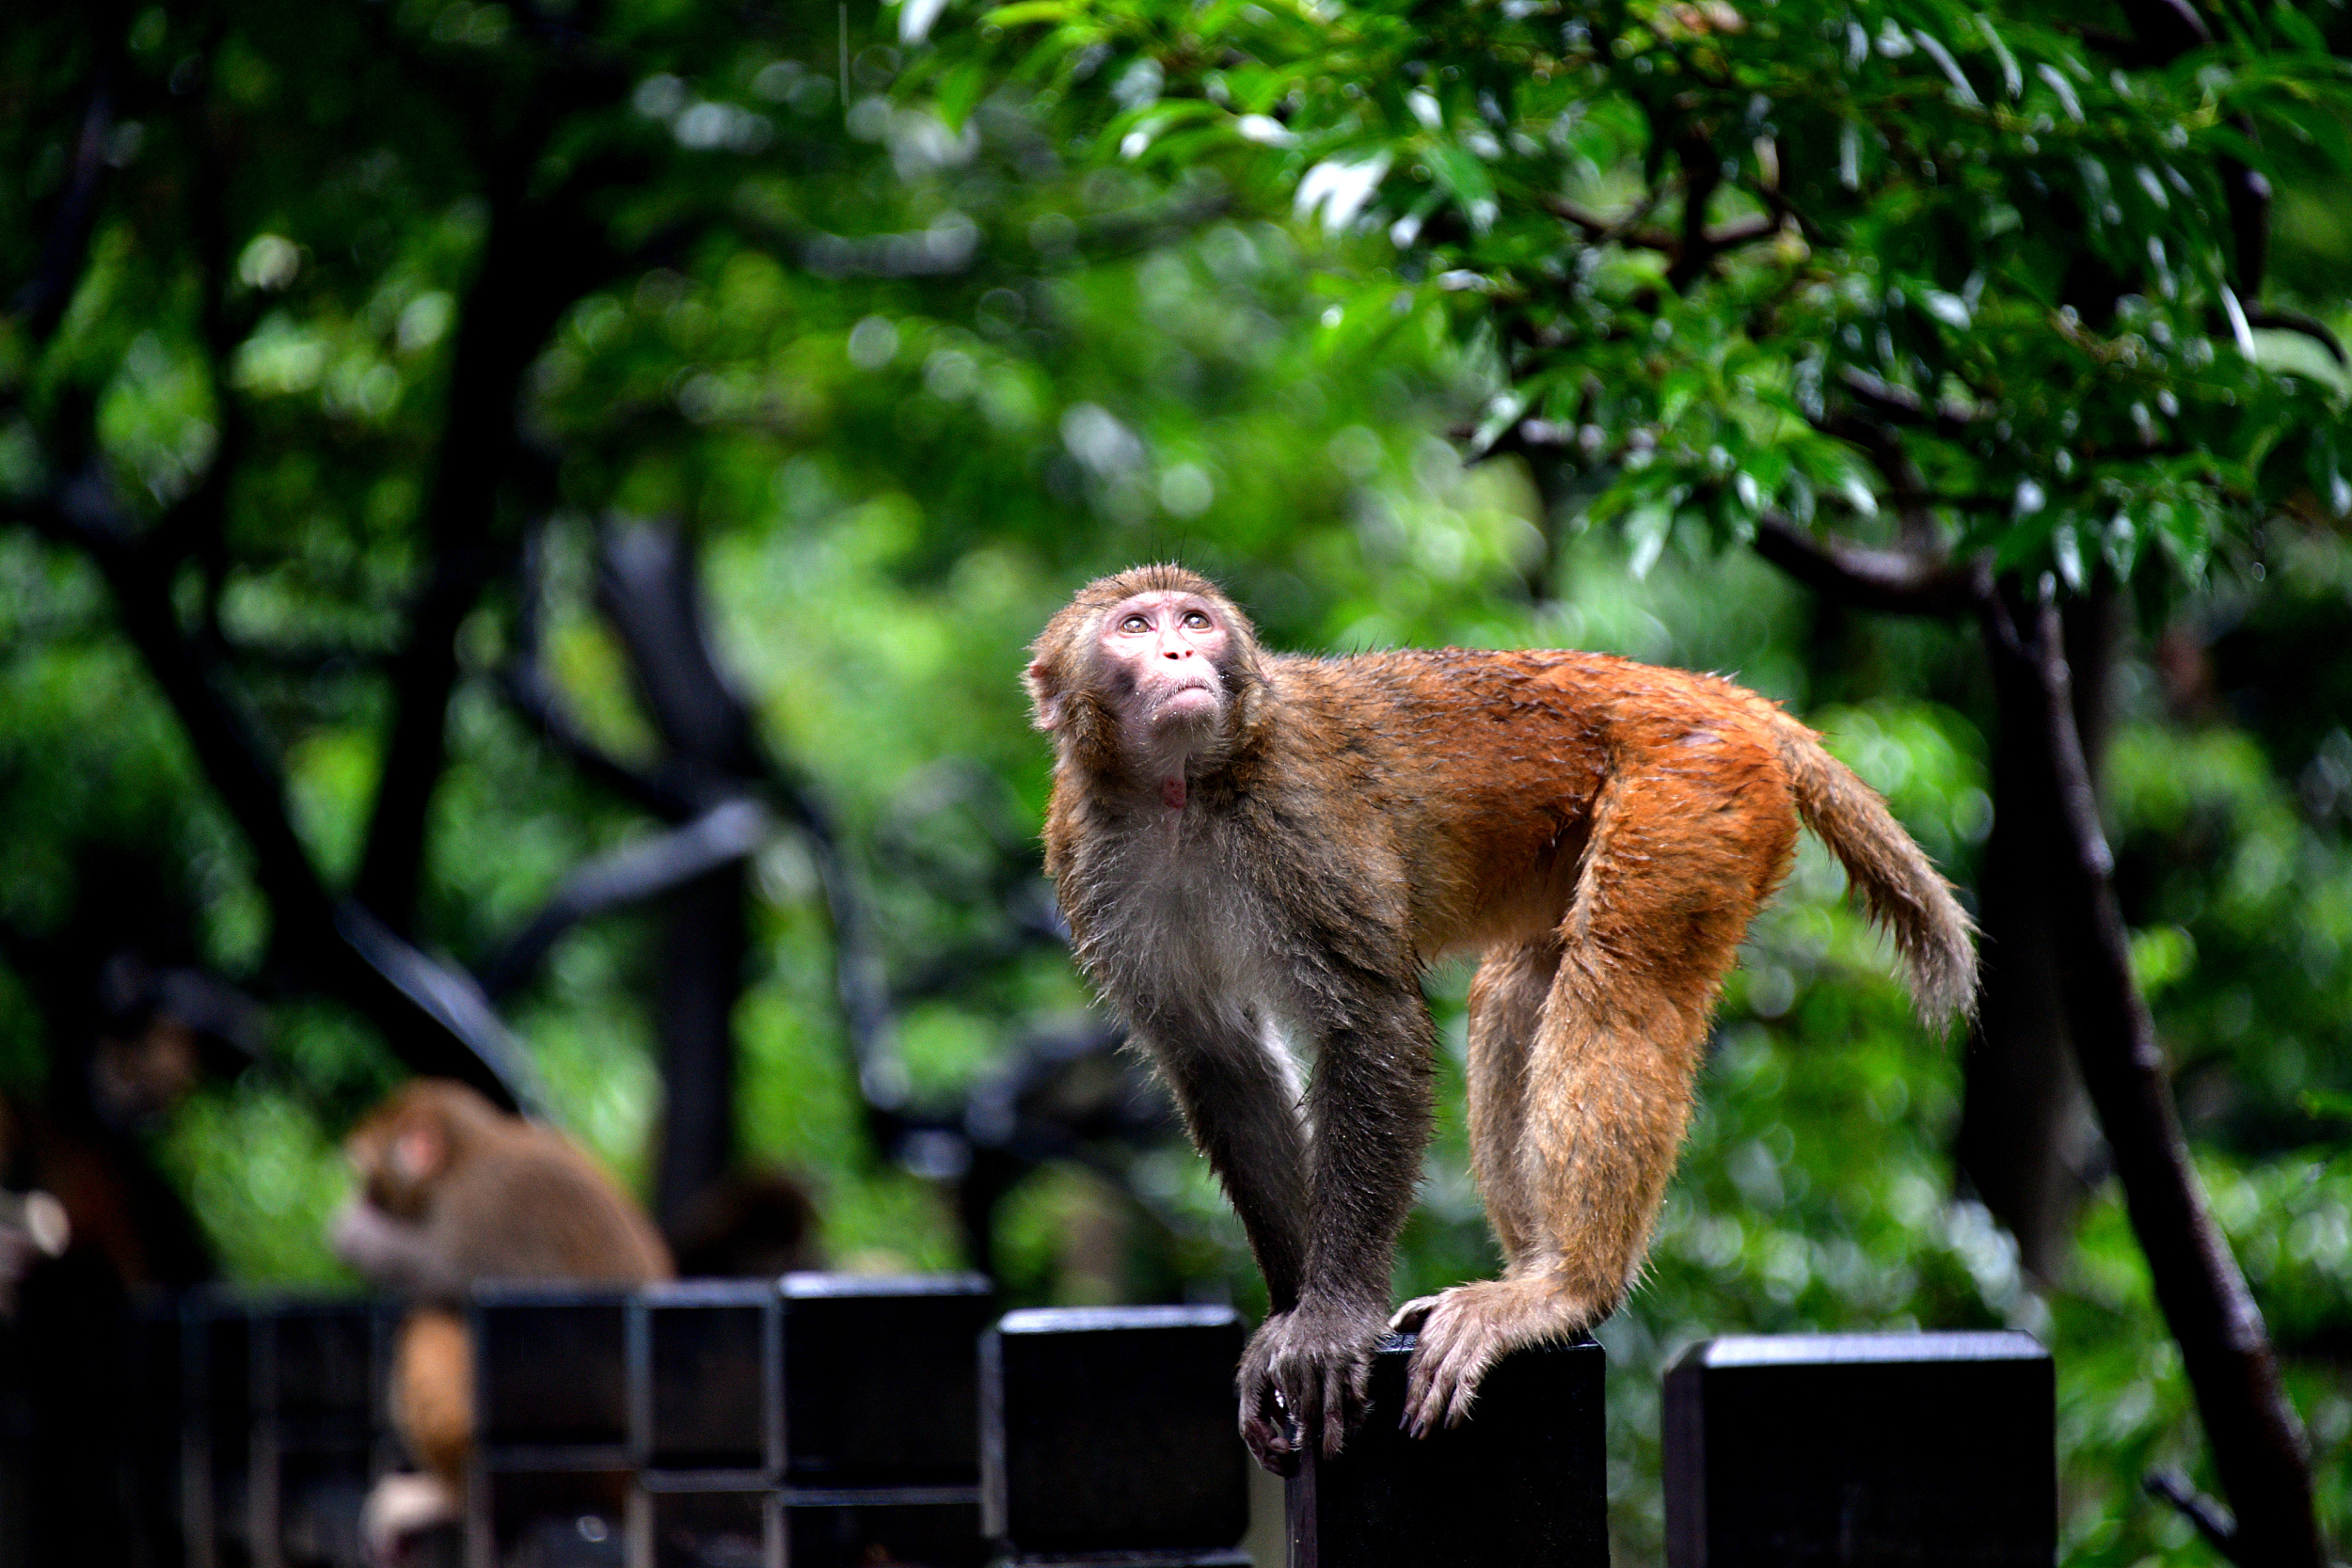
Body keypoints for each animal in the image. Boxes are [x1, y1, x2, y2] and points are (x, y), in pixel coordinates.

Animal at [326, 1085, 673, 1551]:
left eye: (365, 1176)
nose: (361, 1201)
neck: (465, 1153)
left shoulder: (484, 1203)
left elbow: (450, 1275)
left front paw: (357, 1235)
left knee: (431, 1329)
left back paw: (452, 1498)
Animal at [1025, 563, 1966, 1476]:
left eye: (1194, 621)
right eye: (1135, 627)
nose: (1181, 656)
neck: (1186, 795)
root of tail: (1708, 692)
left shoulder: (1296, 820)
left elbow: (1370, 1024)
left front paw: (1330, 1318)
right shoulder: (1090, 854)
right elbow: (1219, 1062)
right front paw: (1291, 1313)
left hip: (1691, 792)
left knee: (1621, 980)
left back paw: (1567, 1288)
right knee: (1518, 988)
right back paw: (1533, 1270)